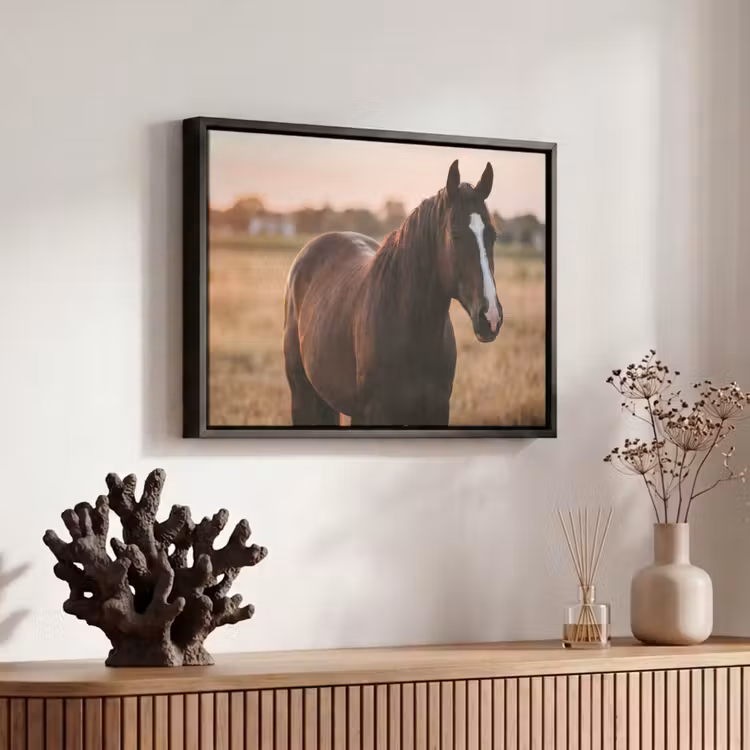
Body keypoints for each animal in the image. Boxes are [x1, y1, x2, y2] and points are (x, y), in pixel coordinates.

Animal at [282, 160, 503, 427]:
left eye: (493, 235)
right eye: (455, 235)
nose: (490, 317)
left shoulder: (437, 411)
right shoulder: (375, 413)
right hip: (303, 395)